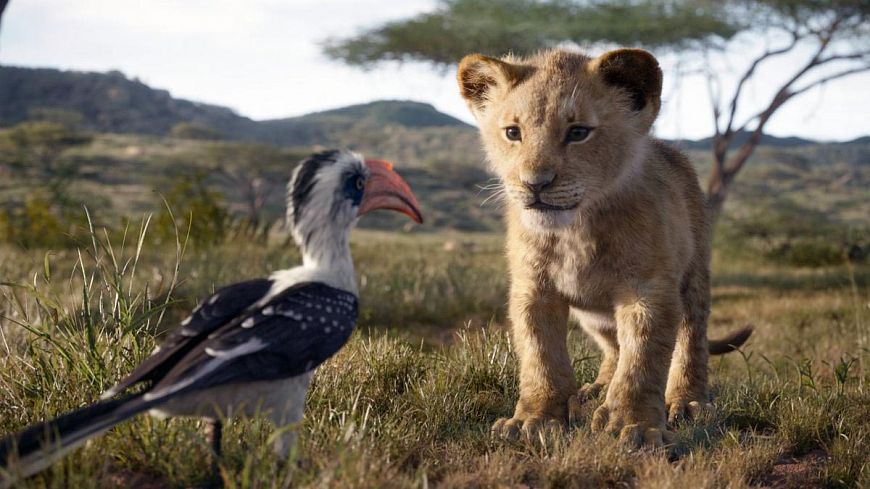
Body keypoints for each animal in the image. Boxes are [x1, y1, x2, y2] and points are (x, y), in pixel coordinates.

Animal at [456, 48, 752, 448]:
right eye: (513, 133)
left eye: (578, 132)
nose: (535, 184)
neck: (575, 231)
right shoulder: (533, 289)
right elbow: (540, 356)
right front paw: (534, 420)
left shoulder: (648, 290)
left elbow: (643, 360)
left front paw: (635, 426)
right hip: (593, 314)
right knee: (613, 346)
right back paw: (595, 389)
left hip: (694, 277)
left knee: (691, 339)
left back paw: (687, 401)